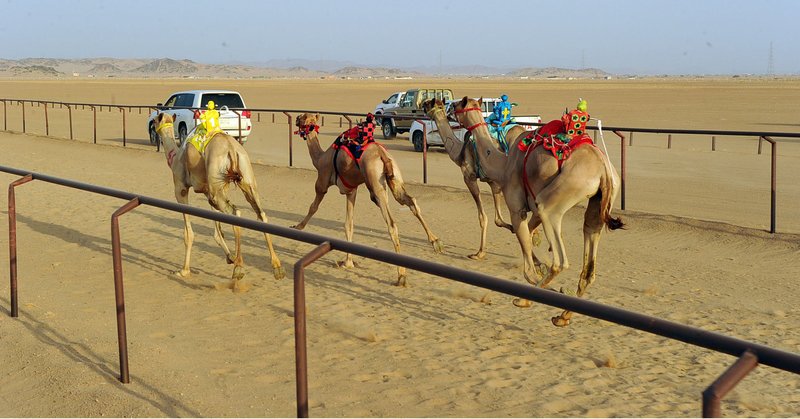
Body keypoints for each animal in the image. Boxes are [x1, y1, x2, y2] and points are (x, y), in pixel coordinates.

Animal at [152, 112, 284, 288]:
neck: (175, 157)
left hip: (217, 177)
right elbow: (217, 230)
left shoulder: (181, 189)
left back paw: (239, 268)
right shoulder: (209, 190)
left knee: (236, 212)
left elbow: (189, 234)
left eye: (154, 120)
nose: (151, 125)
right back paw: (277, 267)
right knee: (261, 215)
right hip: (243, 178)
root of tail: (231, 149)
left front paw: (184, 271)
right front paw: (230, 257)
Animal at [294, 113, 444, 288]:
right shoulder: (351, 191)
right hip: (394, 178)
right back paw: (436, 242)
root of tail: (382, 154)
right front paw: (348, 262)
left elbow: (313, 207)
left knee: (392, 224)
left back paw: (401, 276)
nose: (297, 118)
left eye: (302, 118)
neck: (320, 158)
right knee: (411, 201)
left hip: (375, 182)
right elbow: (349, 225)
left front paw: (297, 227)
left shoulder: (322, 182)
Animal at [416, 99, 516, 260]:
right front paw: (513, 229)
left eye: (429, 103)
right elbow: (498, 219)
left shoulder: (469, 178)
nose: (421, 104)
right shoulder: (493, 183)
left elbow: (483, 217)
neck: (459, 152)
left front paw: (480, 252)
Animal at [450, 99, 624, 328]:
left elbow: (527, 263)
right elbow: (527, 237)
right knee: (589, 262)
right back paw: (563, 317)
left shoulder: (517, 208)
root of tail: (603, 169)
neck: (503, 164)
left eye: (458, 104)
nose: (448, 108)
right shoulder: (532, 211)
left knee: (560, 262)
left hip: (556, 200)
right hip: (600, 203)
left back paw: (525, 300)